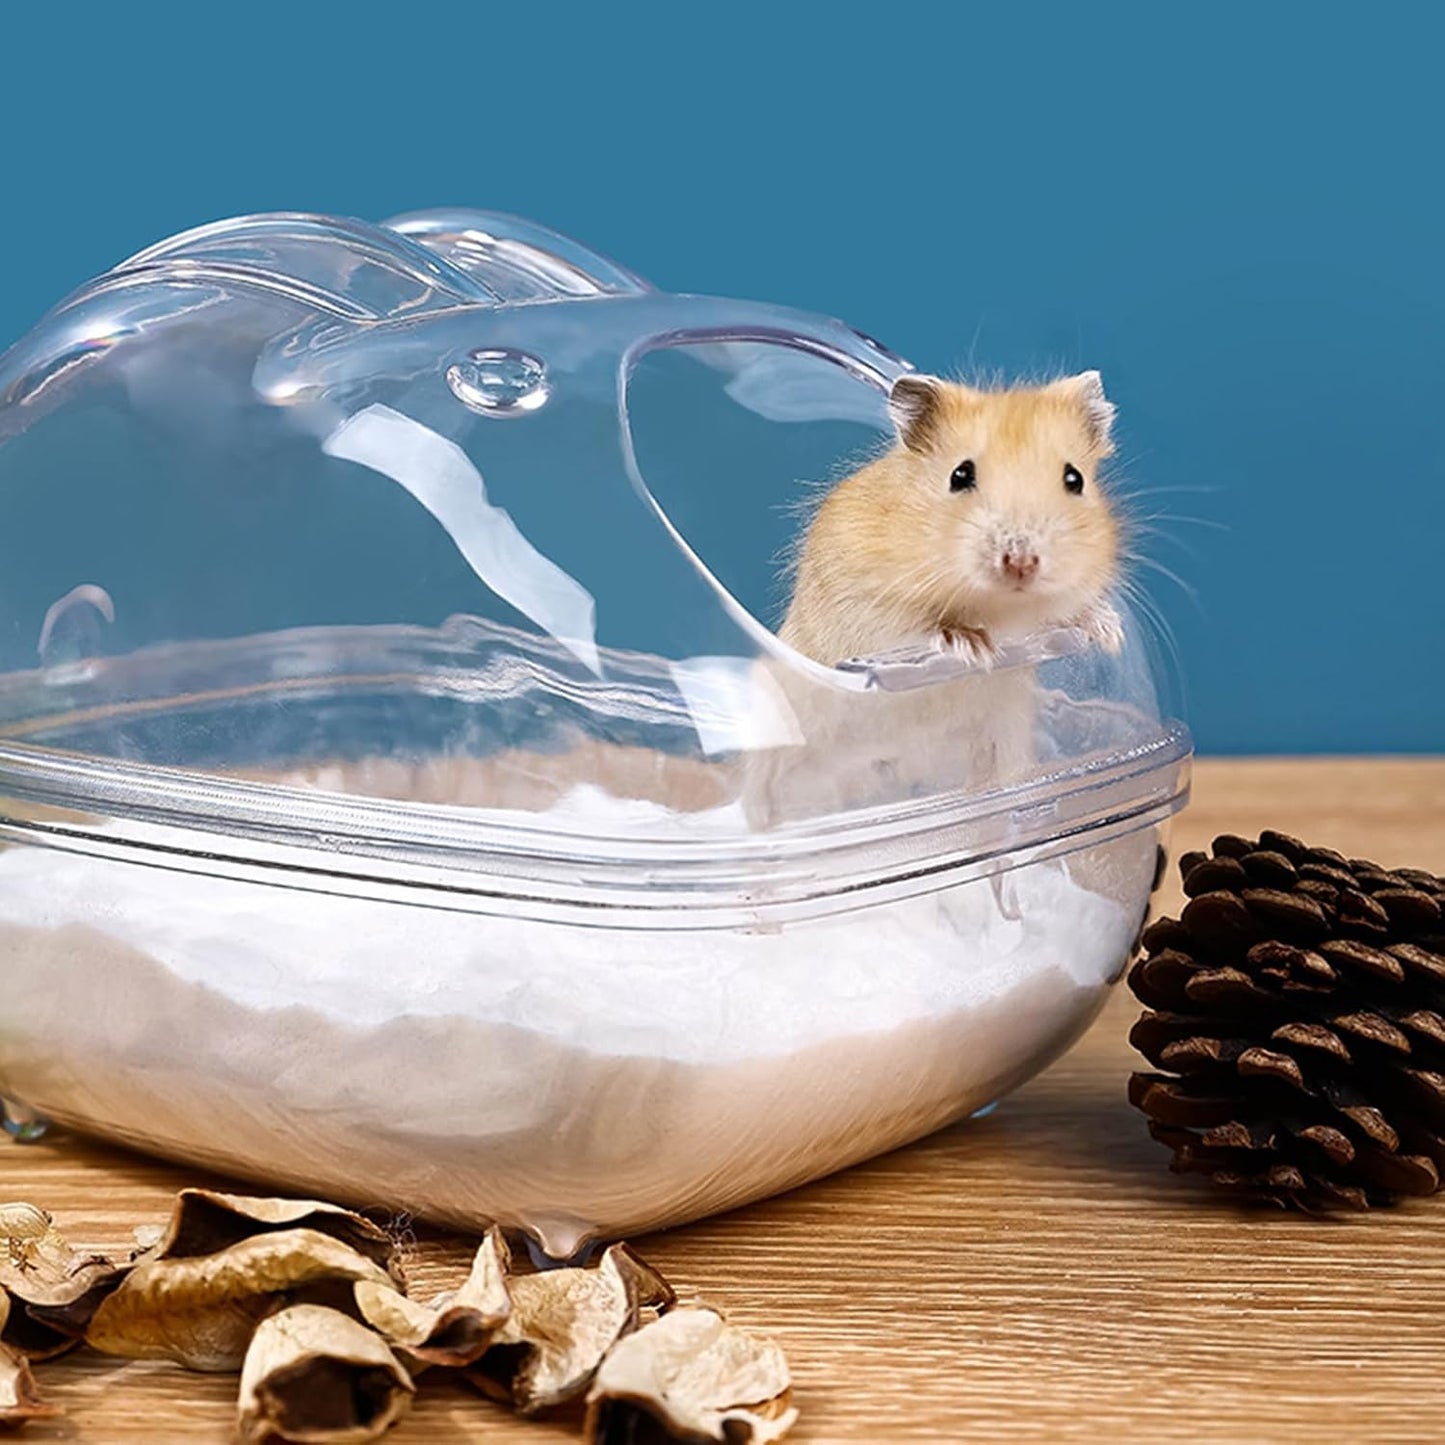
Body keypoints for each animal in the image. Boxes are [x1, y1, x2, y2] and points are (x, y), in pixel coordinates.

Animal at [780, 371, 1124, 667]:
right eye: (959, 475)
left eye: (1075, 479)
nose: (1021, 564)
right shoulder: (862, 603)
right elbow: (914, 628)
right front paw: (975, 648)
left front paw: (1110, 632)